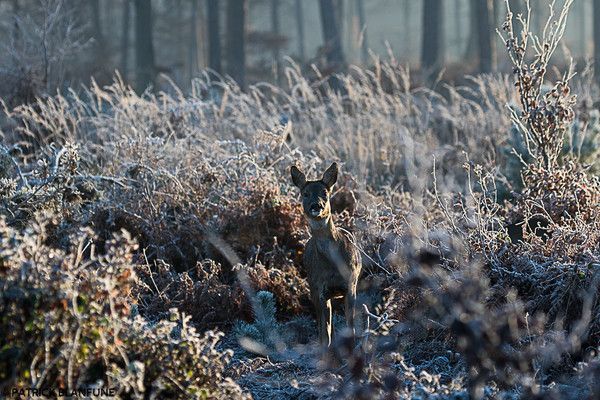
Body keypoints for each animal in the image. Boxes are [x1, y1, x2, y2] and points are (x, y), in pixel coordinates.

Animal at [290, 162, 360, 346]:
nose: (316, 205)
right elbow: (324, 333)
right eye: (305, 194)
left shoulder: (350, 284)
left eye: (325, 193)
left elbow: (351, 328)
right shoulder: (319, 289)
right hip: (314, 290)